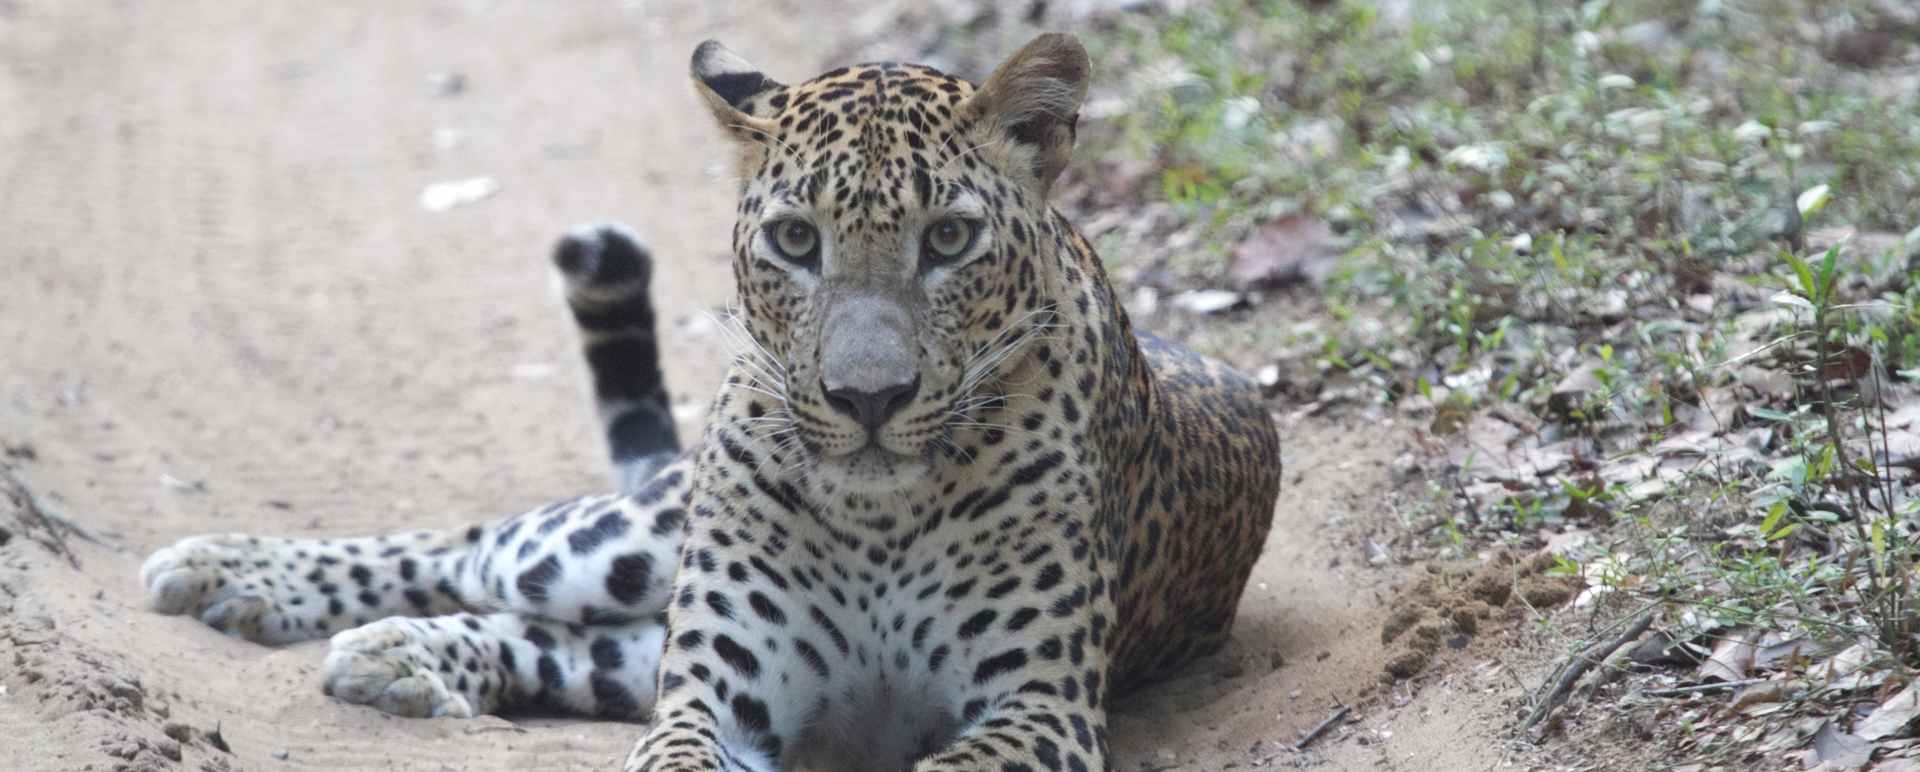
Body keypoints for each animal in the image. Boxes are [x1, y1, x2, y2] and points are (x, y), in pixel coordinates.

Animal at [138, 33, 1282, 772]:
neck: (883, 515)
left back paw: (401, 658)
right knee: (475, 547)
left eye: (951, 239)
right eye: (795, 240)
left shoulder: (1036, 708)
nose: (868, 397)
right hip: (621, 543)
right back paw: (232, 572)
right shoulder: (712, 696)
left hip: (629, 626)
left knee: (555, 638)